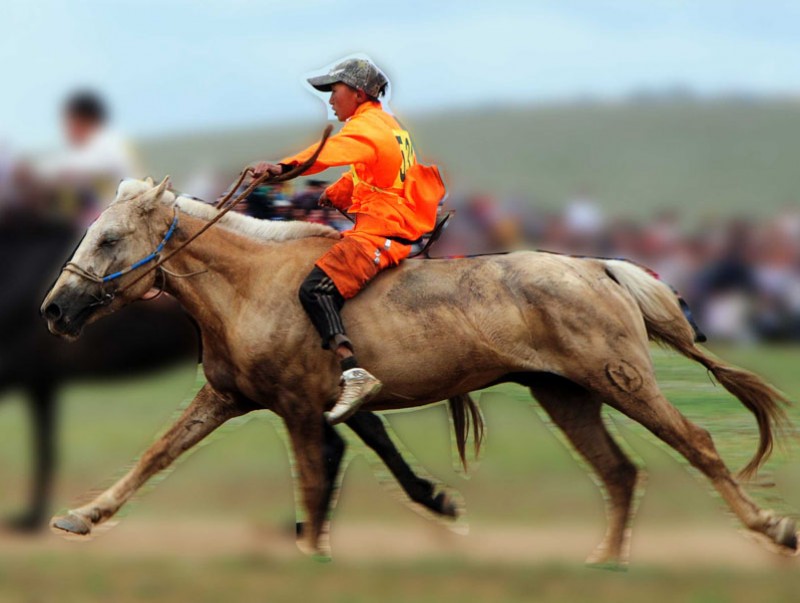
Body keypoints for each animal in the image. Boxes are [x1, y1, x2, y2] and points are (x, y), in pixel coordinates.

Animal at [40, 177, 796, 564]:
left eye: (109, 237)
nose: (54, 309)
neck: (253, 284)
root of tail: (598, 267)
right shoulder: (228, 396)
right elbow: (156, 454)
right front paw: (83, 514)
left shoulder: (298, 409)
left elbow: (313, 478)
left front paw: (313, 553)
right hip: (566, 395)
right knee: (619, 472)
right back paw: (605, 561)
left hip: (620, 381)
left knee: (696, 444)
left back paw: (772, 528)